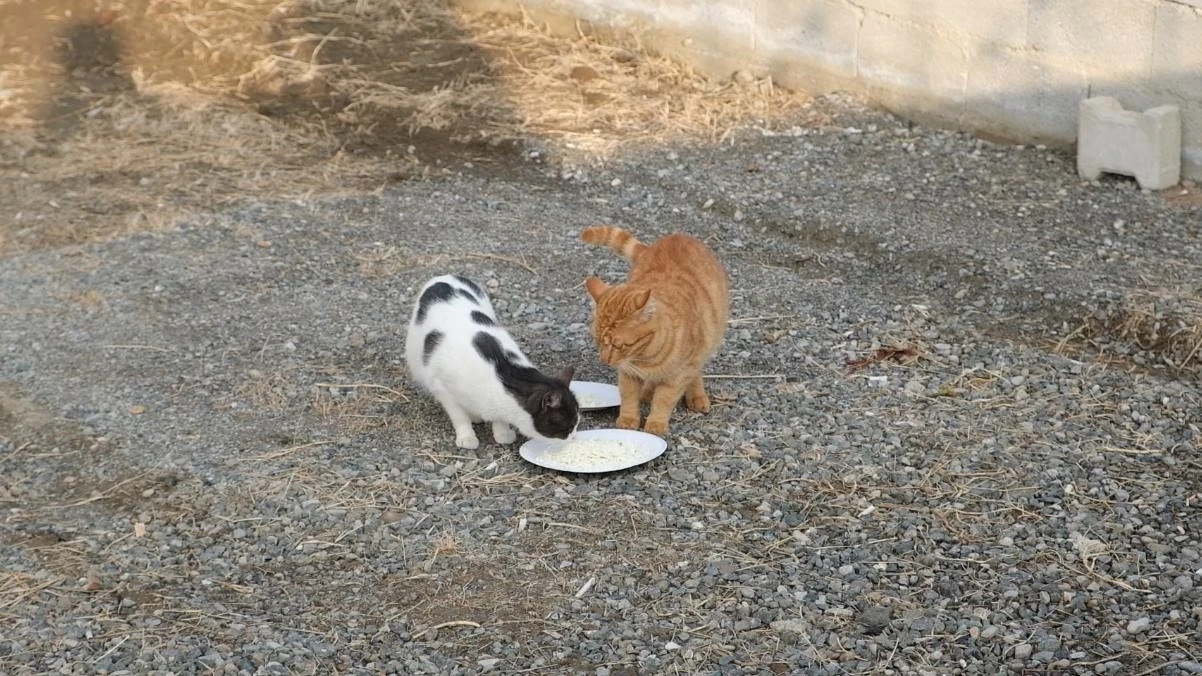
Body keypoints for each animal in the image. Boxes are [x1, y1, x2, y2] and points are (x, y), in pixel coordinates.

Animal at [401, 274, 579, 447]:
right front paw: (467, 437)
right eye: (569, 427)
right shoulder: (442, 389)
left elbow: (499, 420)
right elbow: (459, 416)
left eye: (576, 424)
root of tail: (443, 276)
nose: (574, 438)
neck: (502, 375)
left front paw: (502, 433)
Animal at [579, 223, 726, 433]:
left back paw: (697, 396)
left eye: (618, 345)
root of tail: (676, 237)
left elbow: (664, 399)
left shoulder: (679, 374)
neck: (645, 357)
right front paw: (629, 419)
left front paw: (656, 423)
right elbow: (629, 396)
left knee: (696, 372)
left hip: (705, 344)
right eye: (597, 341)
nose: (604, 361)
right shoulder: (627, 373)